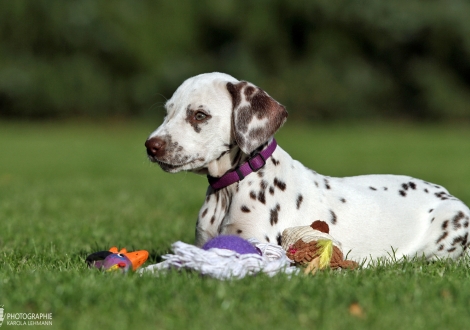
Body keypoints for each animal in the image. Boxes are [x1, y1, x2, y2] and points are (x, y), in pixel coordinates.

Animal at [145, 71, 468, 262]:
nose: (151, 146)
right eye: (167, 112)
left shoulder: (255, 246)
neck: (230, 189)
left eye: (199, 115)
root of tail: (447, 194)